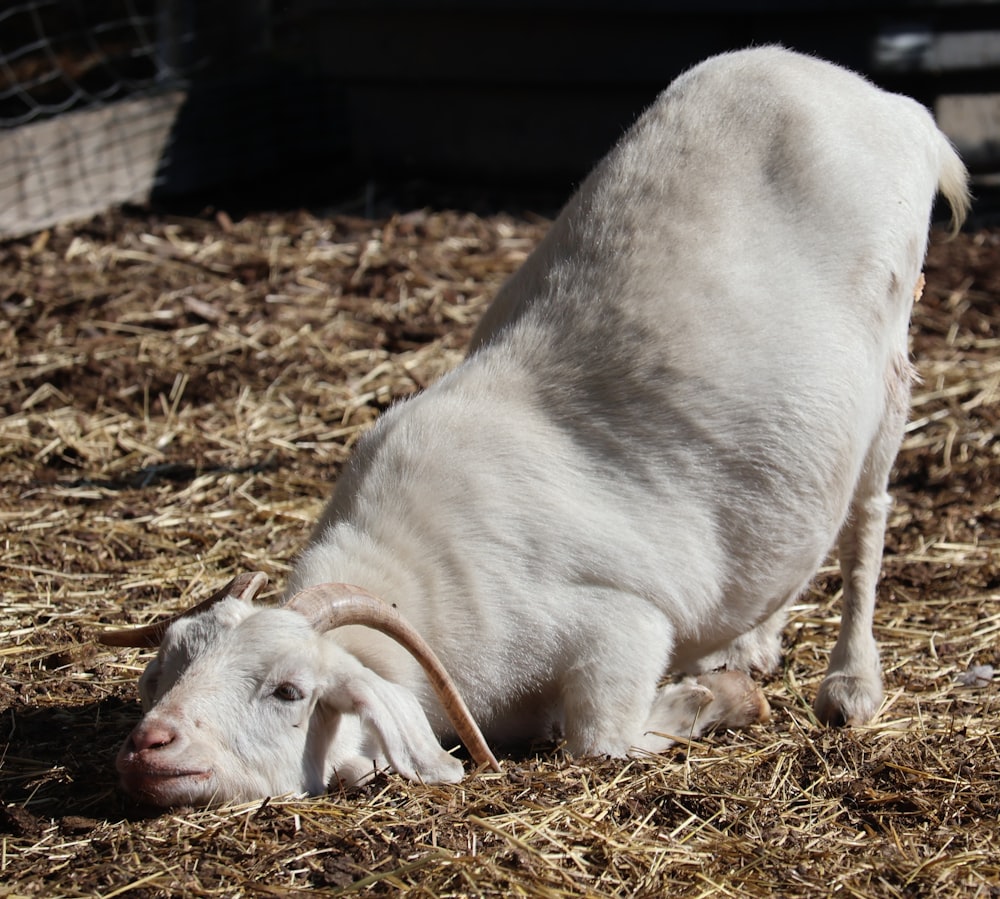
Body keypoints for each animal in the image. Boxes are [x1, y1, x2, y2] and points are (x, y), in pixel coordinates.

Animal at [99, 47, 960, 808]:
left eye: (288, 689)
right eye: (164, 672)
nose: (149, 745)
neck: (417, 576)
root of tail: (890, 103)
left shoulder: (621, 623)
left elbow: (601, 737)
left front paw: (718, 700)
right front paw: (732, 675)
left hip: (892, 358)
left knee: (867, 516)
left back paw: (850, 681)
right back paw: (753, 642)